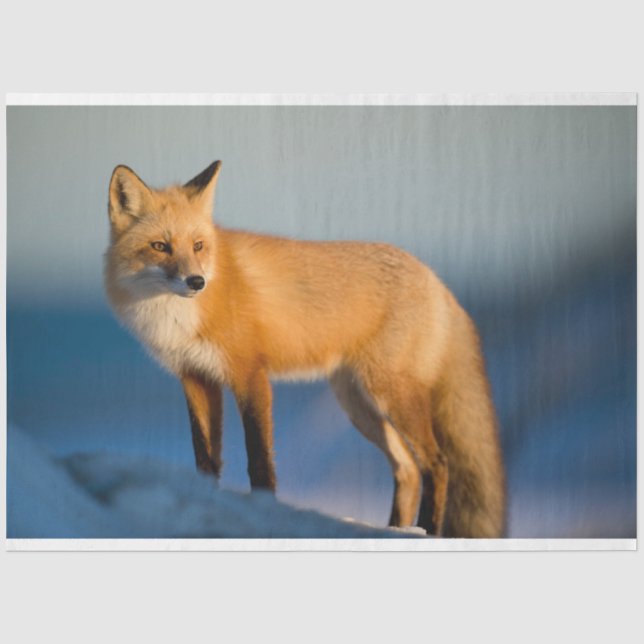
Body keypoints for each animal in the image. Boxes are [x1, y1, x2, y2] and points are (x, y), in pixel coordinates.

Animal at [104, 160, 506, 537]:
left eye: (198, 246)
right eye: (160, 246)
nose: (196, 281)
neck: (178, 316)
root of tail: (436, 280)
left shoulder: (250, 374)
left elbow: (259, 459)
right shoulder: (196, 378)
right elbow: (205, 458)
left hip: (391, 394)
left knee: (437, 463)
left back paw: (426, 530)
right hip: (358, 405)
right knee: (407, 468)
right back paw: (396, 529)